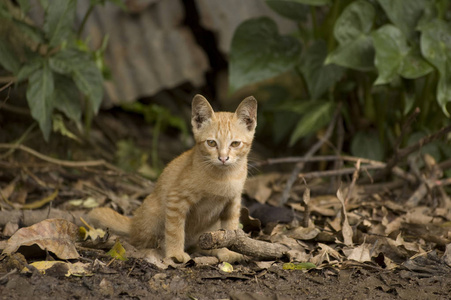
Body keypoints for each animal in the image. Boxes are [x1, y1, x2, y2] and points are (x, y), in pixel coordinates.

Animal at [88, 94, 258, 262]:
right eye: (211, 143)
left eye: (235, 144)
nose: (223, 158)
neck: (224, 178)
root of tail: (133, 222)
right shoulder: (176, 199)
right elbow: (175, 230)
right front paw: (175, 253)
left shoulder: (233, 203)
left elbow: (230, 229)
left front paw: (227, 252)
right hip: (154, 213)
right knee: (139, 241)